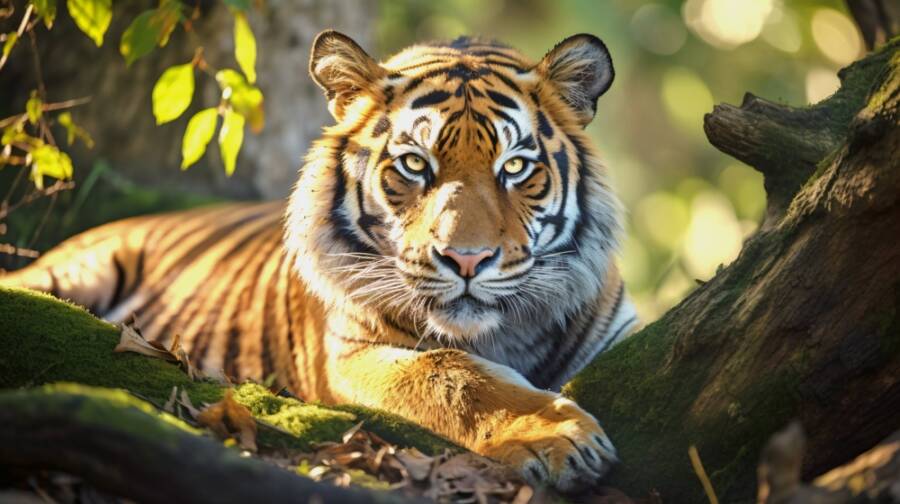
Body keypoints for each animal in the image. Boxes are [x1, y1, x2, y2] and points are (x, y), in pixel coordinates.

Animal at [1, 31, 639, 491]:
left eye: (515, 167)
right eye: (415, 164)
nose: (466, 259)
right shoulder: (349, 354)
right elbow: (451, 376)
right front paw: (560, 436)